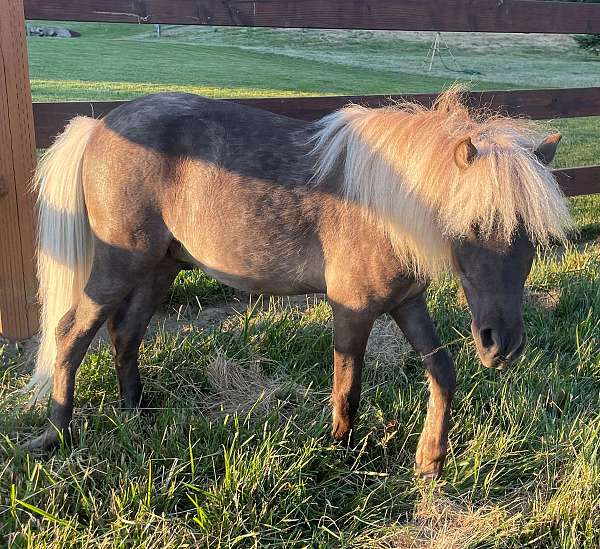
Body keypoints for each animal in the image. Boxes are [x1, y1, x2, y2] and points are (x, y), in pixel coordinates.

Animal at [24, 90, 568, 476]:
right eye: (471, 225)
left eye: (533, 235)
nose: (502, 345)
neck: (385, 206)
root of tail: (99, 125)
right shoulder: (352, 310)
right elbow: (348, 387)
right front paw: (339, 451)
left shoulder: (407, 303)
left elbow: (443, 371)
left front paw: (430, 460)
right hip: (118, 266)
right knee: (71, 334)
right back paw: (55, 436)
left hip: (159, 268)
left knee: (125, 333)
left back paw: (137, 416)